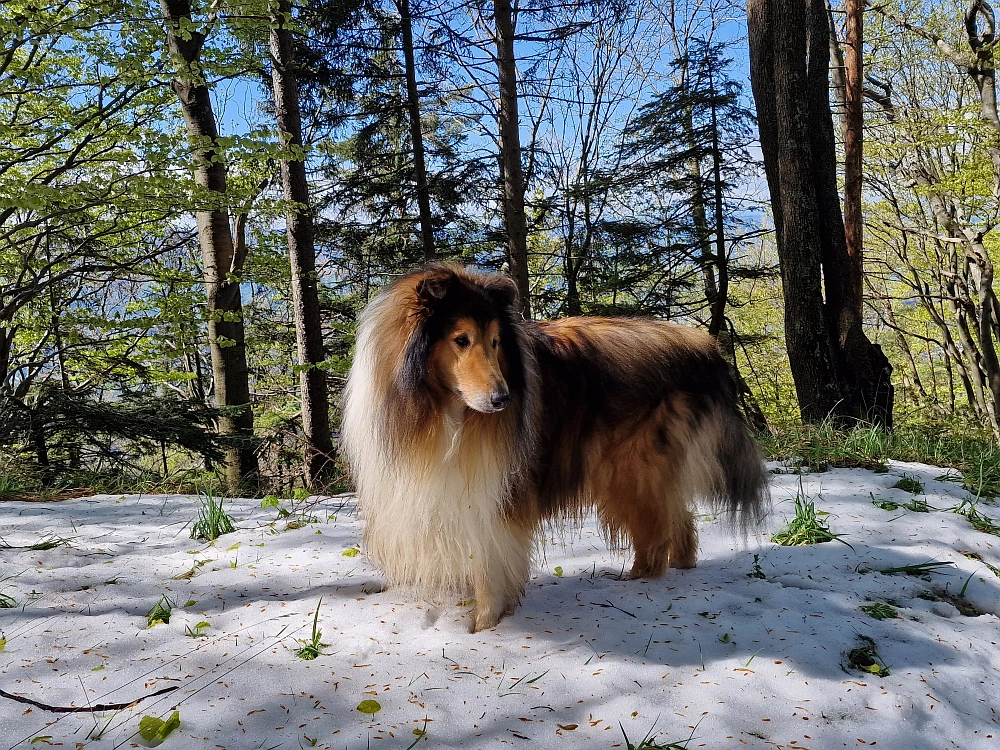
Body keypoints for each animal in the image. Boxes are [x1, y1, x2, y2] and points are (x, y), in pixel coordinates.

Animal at [344, 264, 764, 636]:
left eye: (496, 341)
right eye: (461, 339)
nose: (504, 400)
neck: (442, 411)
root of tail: (702, 346)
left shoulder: (495, 492)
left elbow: (489, 562)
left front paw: (484, 627)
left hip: (629, 470)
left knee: (656, 532)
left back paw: (638, 582)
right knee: (680, 520)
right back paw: (678, 572)